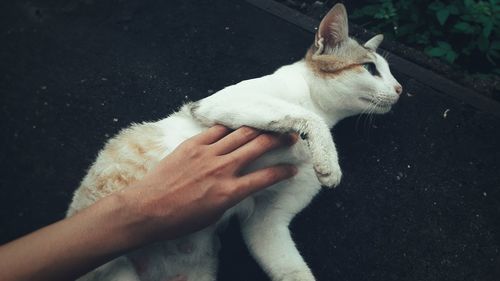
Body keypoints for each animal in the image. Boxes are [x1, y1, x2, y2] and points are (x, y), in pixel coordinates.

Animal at [66, 3, 402, 280]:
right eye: (370, 68)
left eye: (388, 72)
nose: (399, 88)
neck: (320, 104)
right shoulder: (221, 103)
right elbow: (303, 117)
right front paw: (326, 158)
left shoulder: (267, 223)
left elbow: (293, 271)